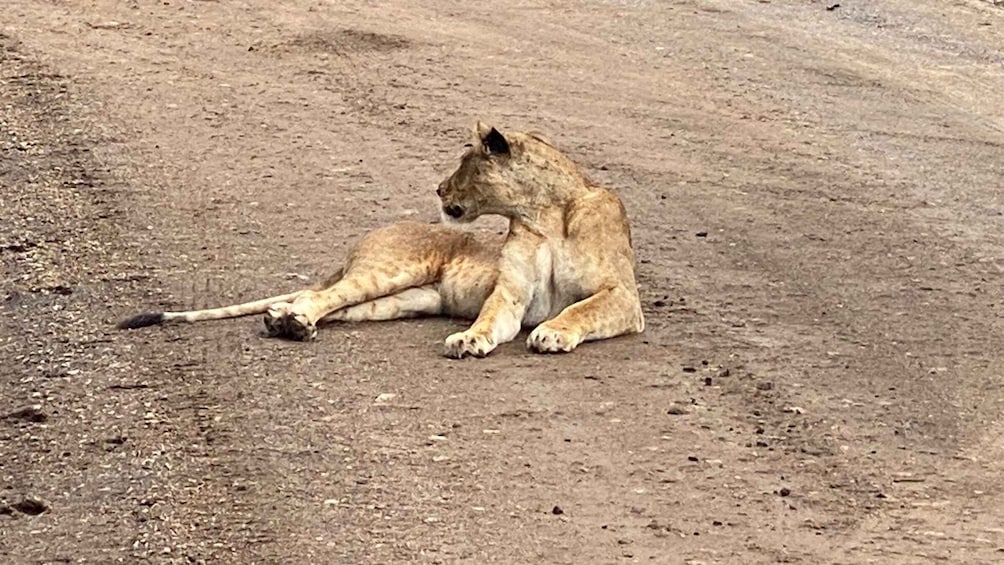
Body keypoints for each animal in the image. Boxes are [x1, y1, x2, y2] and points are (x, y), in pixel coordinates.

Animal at [119, 123, 642, 357]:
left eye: (463, 163)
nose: (438, 189)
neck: (543, 212)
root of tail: (365, 239)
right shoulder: (511, 293)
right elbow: (492, 316)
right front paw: (469, 337)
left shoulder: (623, 297)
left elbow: (582, 308)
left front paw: (552, 332)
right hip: (391, 271)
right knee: (322, 296)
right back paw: (290, 321)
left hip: (405, 299)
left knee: (330, 305)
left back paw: (284, 321)